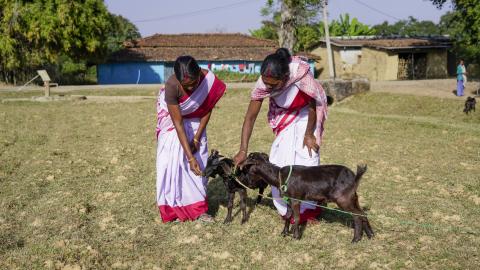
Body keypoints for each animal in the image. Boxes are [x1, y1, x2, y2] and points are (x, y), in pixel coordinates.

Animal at [242, 152, 374, 243]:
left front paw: (295, 237)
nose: (249, 184)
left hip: (343, 199)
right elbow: (288, 216)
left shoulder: (296, 199)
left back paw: (355, 239)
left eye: (248, 170)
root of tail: (354, 177)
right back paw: (370, 235)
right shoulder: (288, 200)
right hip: (353, 197)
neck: (279, 175)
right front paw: (284, 233)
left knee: (357, 215)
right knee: (362, 213)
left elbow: (297, 217)